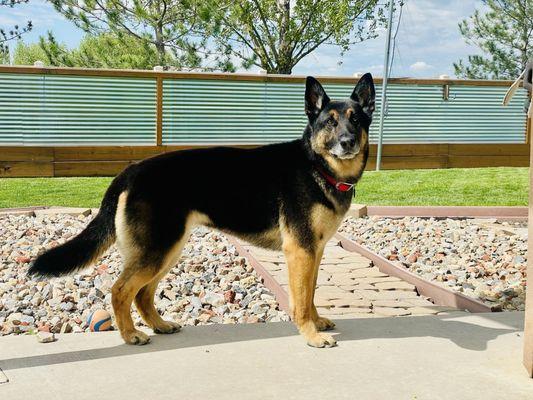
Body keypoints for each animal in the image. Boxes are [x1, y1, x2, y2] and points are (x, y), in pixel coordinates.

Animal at [29, 73, 376, 348]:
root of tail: (132, 170)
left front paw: (316, 323)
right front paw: (311, 335)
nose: (347, 142)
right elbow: (302, 300)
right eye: (329, 122)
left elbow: (312, 293)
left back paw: (159, 325)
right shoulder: (300, 252)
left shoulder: (314, 252)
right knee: (120, 289)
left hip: (167, 251)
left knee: (142, 294)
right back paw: (131, 335)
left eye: (355, 120)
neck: (316, 165)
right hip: (158, 250)